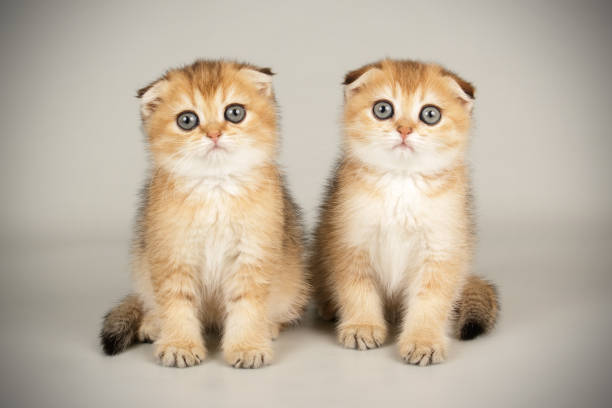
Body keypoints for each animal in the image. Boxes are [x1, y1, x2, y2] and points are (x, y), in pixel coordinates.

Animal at [103, 60, 310, 370]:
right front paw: (179, 344)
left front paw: (247, 346)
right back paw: (153, 324)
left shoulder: (252, 255)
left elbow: (248, 304)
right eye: (187, 120)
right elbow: (176, 302)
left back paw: (269, 326)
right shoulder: (172, 253)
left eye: (234, 113)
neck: (215, 187)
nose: (214, 134)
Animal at [310, 58, 498, 366]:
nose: (404, 129)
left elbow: (430, 301)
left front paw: (423, 340)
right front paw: (363, 325)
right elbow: (357, 288)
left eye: (430, 114)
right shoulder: (350, 241)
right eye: (383, 109)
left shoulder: (441, 250)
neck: (401, 181)